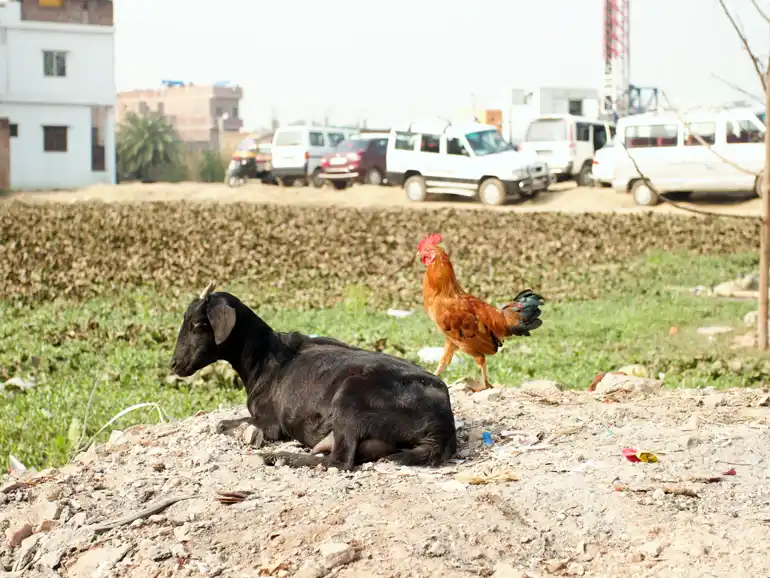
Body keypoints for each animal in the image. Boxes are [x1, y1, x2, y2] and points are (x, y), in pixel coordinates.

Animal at [169, 282, 458, 470]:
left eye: (198, 324)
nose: (174, 364)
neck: (265, 359)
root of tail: (442, 424)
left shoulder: (271, 423)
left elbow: (222, 424)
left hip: (350, 399)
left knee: (340, 461)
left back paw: (283, 457)